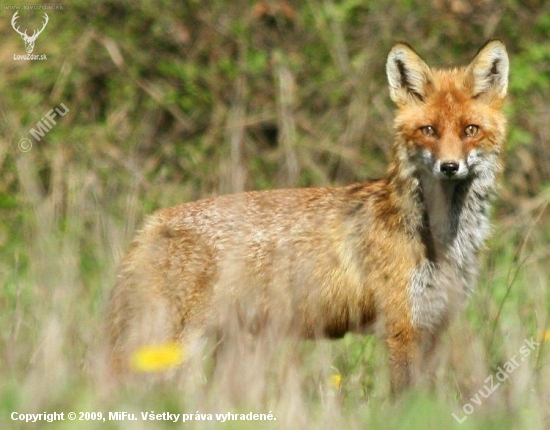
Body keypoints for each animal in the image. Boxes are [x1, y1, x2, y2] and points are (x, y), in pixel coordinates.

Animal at [110, 40, 512, 390]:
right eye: (428, 130)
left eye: (470, 130)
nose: (450, 167)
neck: (442, 241)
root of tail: (153, 222)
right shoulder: (402, 328)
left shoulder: (433, 325)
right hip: (172, 342)